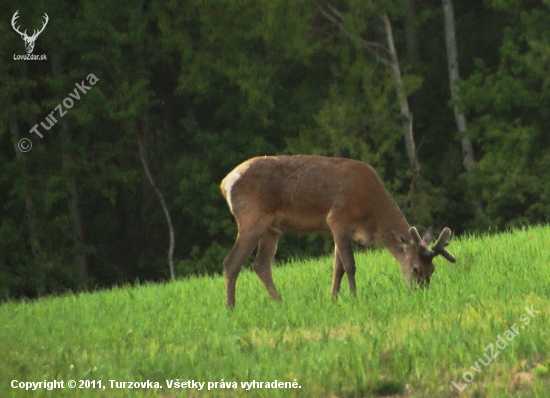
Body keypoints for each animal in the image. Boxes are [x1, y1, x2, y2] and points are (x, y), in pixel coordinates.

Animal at [220, 155, 458, 308]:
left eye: (432, 270)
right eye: (416, 268)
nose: (421, 293)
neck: (373, 216)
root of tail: (225, 183)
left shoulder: (339, 229)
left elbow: (338, 268)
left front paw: (333, 299)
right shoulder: (338, 219)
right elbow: (350, 266)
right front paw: (354, 298)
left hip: (272, 227)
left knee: (260, 264)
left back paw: (280, 302)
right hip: (253, 217)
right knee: (232, 262)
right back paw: (231, 308)